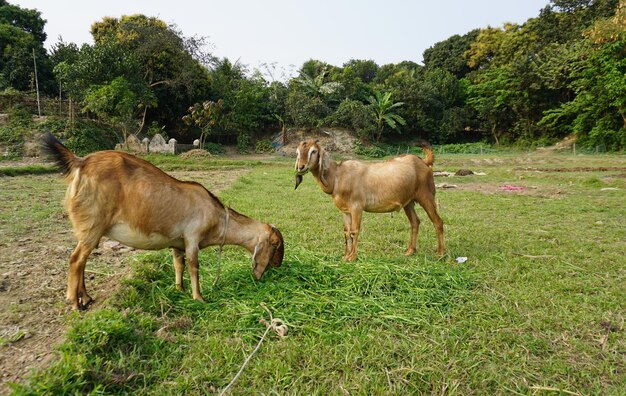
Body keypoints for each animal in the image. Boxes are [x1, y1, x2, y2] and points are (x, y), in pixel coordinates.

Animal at [44, 133, 286, 310]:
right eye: (276, 245)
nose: (278, 266)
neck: (217, 216)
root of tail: (81, 162)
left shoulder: (177, 243)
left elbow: (178, 265)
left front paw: (179, 290)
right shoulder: (192, 238)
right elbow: (193, 266)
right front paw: (199, 298)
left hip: (89, 231)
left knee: (82, 262)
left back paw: (86, 298)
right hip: (92, 225)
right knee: (76, 260)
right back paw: (74, 303)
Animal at [294, 141, 444, 262]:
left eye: (313, 151)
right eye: (298, 152)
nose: (301, 167)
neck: (337, 176)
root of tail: (424, 162)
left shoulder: (356, 207)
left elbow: (354, 231)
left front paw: (352, 257)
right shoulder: (345, 211)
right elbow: (346, 232)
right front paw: (345, 256)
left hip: (426, 196)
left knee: (438, 222)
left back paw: (440, 254)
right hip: (409, 202)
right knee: (415, 222)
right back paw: (410, 251)